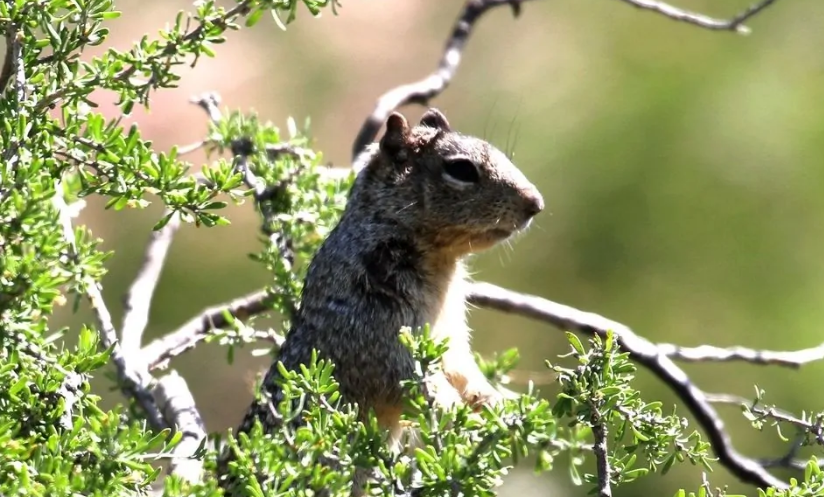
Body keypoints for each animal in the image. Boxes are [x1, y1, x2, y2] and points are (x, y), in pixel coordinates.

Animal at [216, 107, 544, 492]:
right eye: (461, 169)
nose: (536, 203)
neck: (439, 263)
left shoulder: (450, 337)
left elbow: (464, 371)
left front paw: (497, 402)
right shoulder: (379, 336)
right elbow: (418, 384)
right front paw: (462, 416)